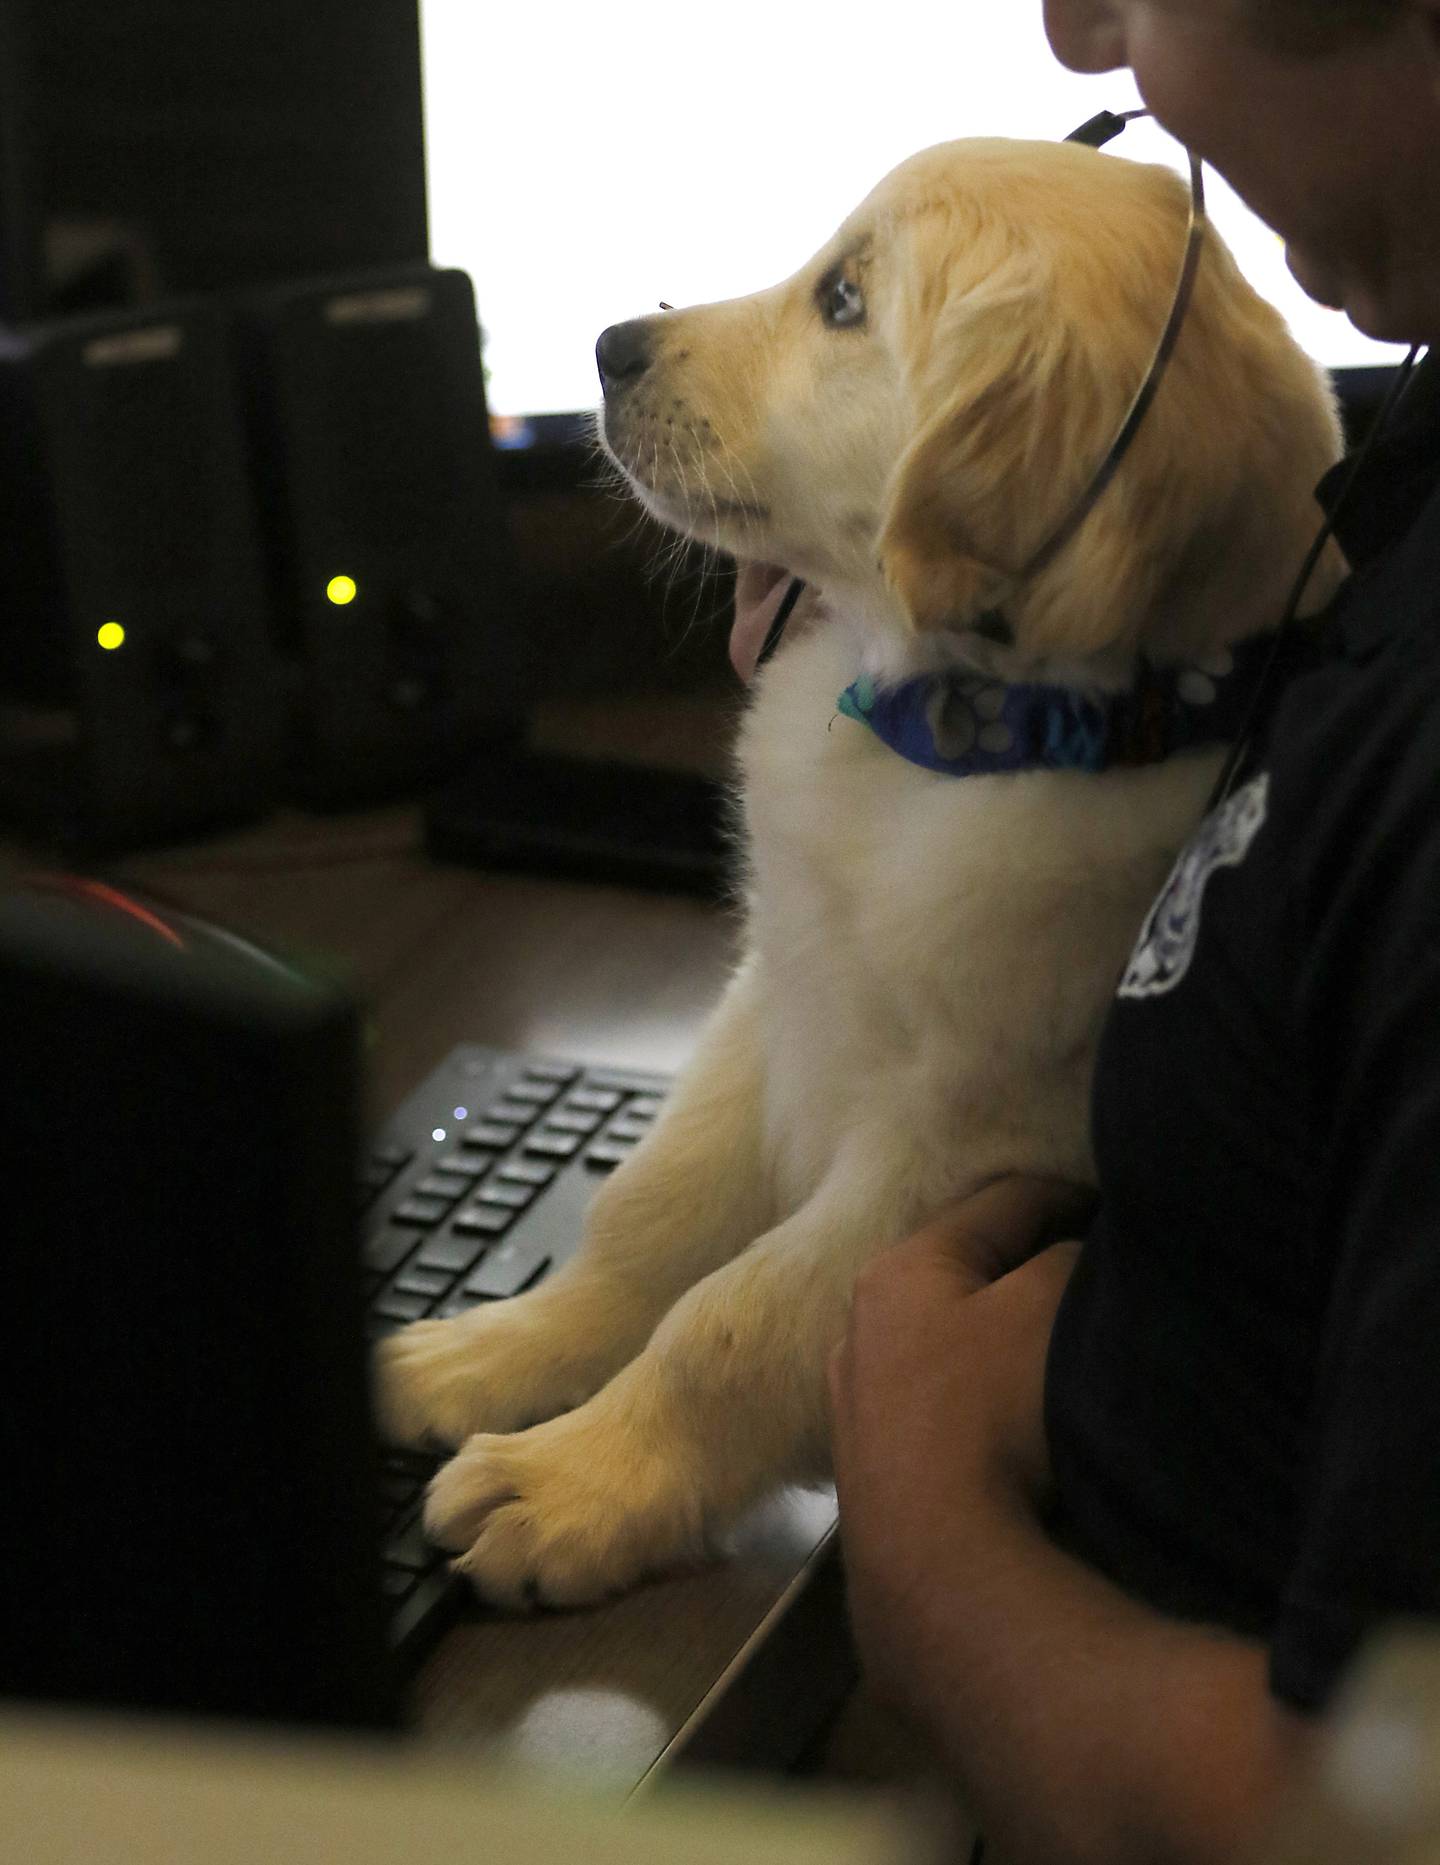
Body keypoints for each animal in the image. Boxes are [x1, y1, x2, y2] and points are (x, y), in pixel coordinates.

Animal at [376, 141, 1343, 1603]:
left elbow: (737, 1315)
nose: (607, 346)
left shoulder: (971, 1150)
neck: (941, 744)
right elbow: (653, 1209)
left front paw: (580, 1481)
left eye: (843, 300)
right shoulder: (774, 989)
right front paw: (494, 1350)